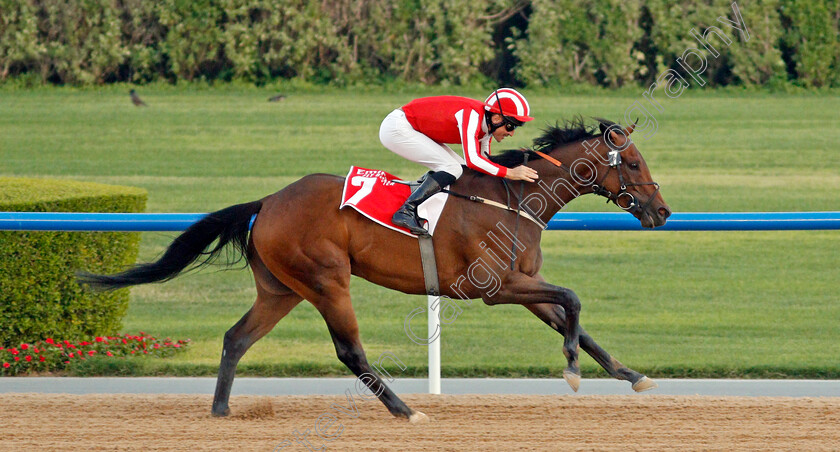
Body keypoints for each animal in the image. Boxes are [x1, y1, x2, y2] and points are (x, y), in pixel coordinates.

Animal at [79, 117, 668, 424]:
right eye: (634, 163)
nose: (662, 212)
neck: (513, 200)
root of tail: (268, 201)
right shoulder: (495, 287)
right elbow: (573, 300)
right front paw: (571, 369)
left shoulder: (522, 284)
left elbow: (574, 317)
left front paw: (630, 374)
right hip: (325, 280)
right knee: (349, 351)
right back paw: (406, 410)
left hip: (281, 289)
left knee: (235, 338)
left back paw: (222, 411)